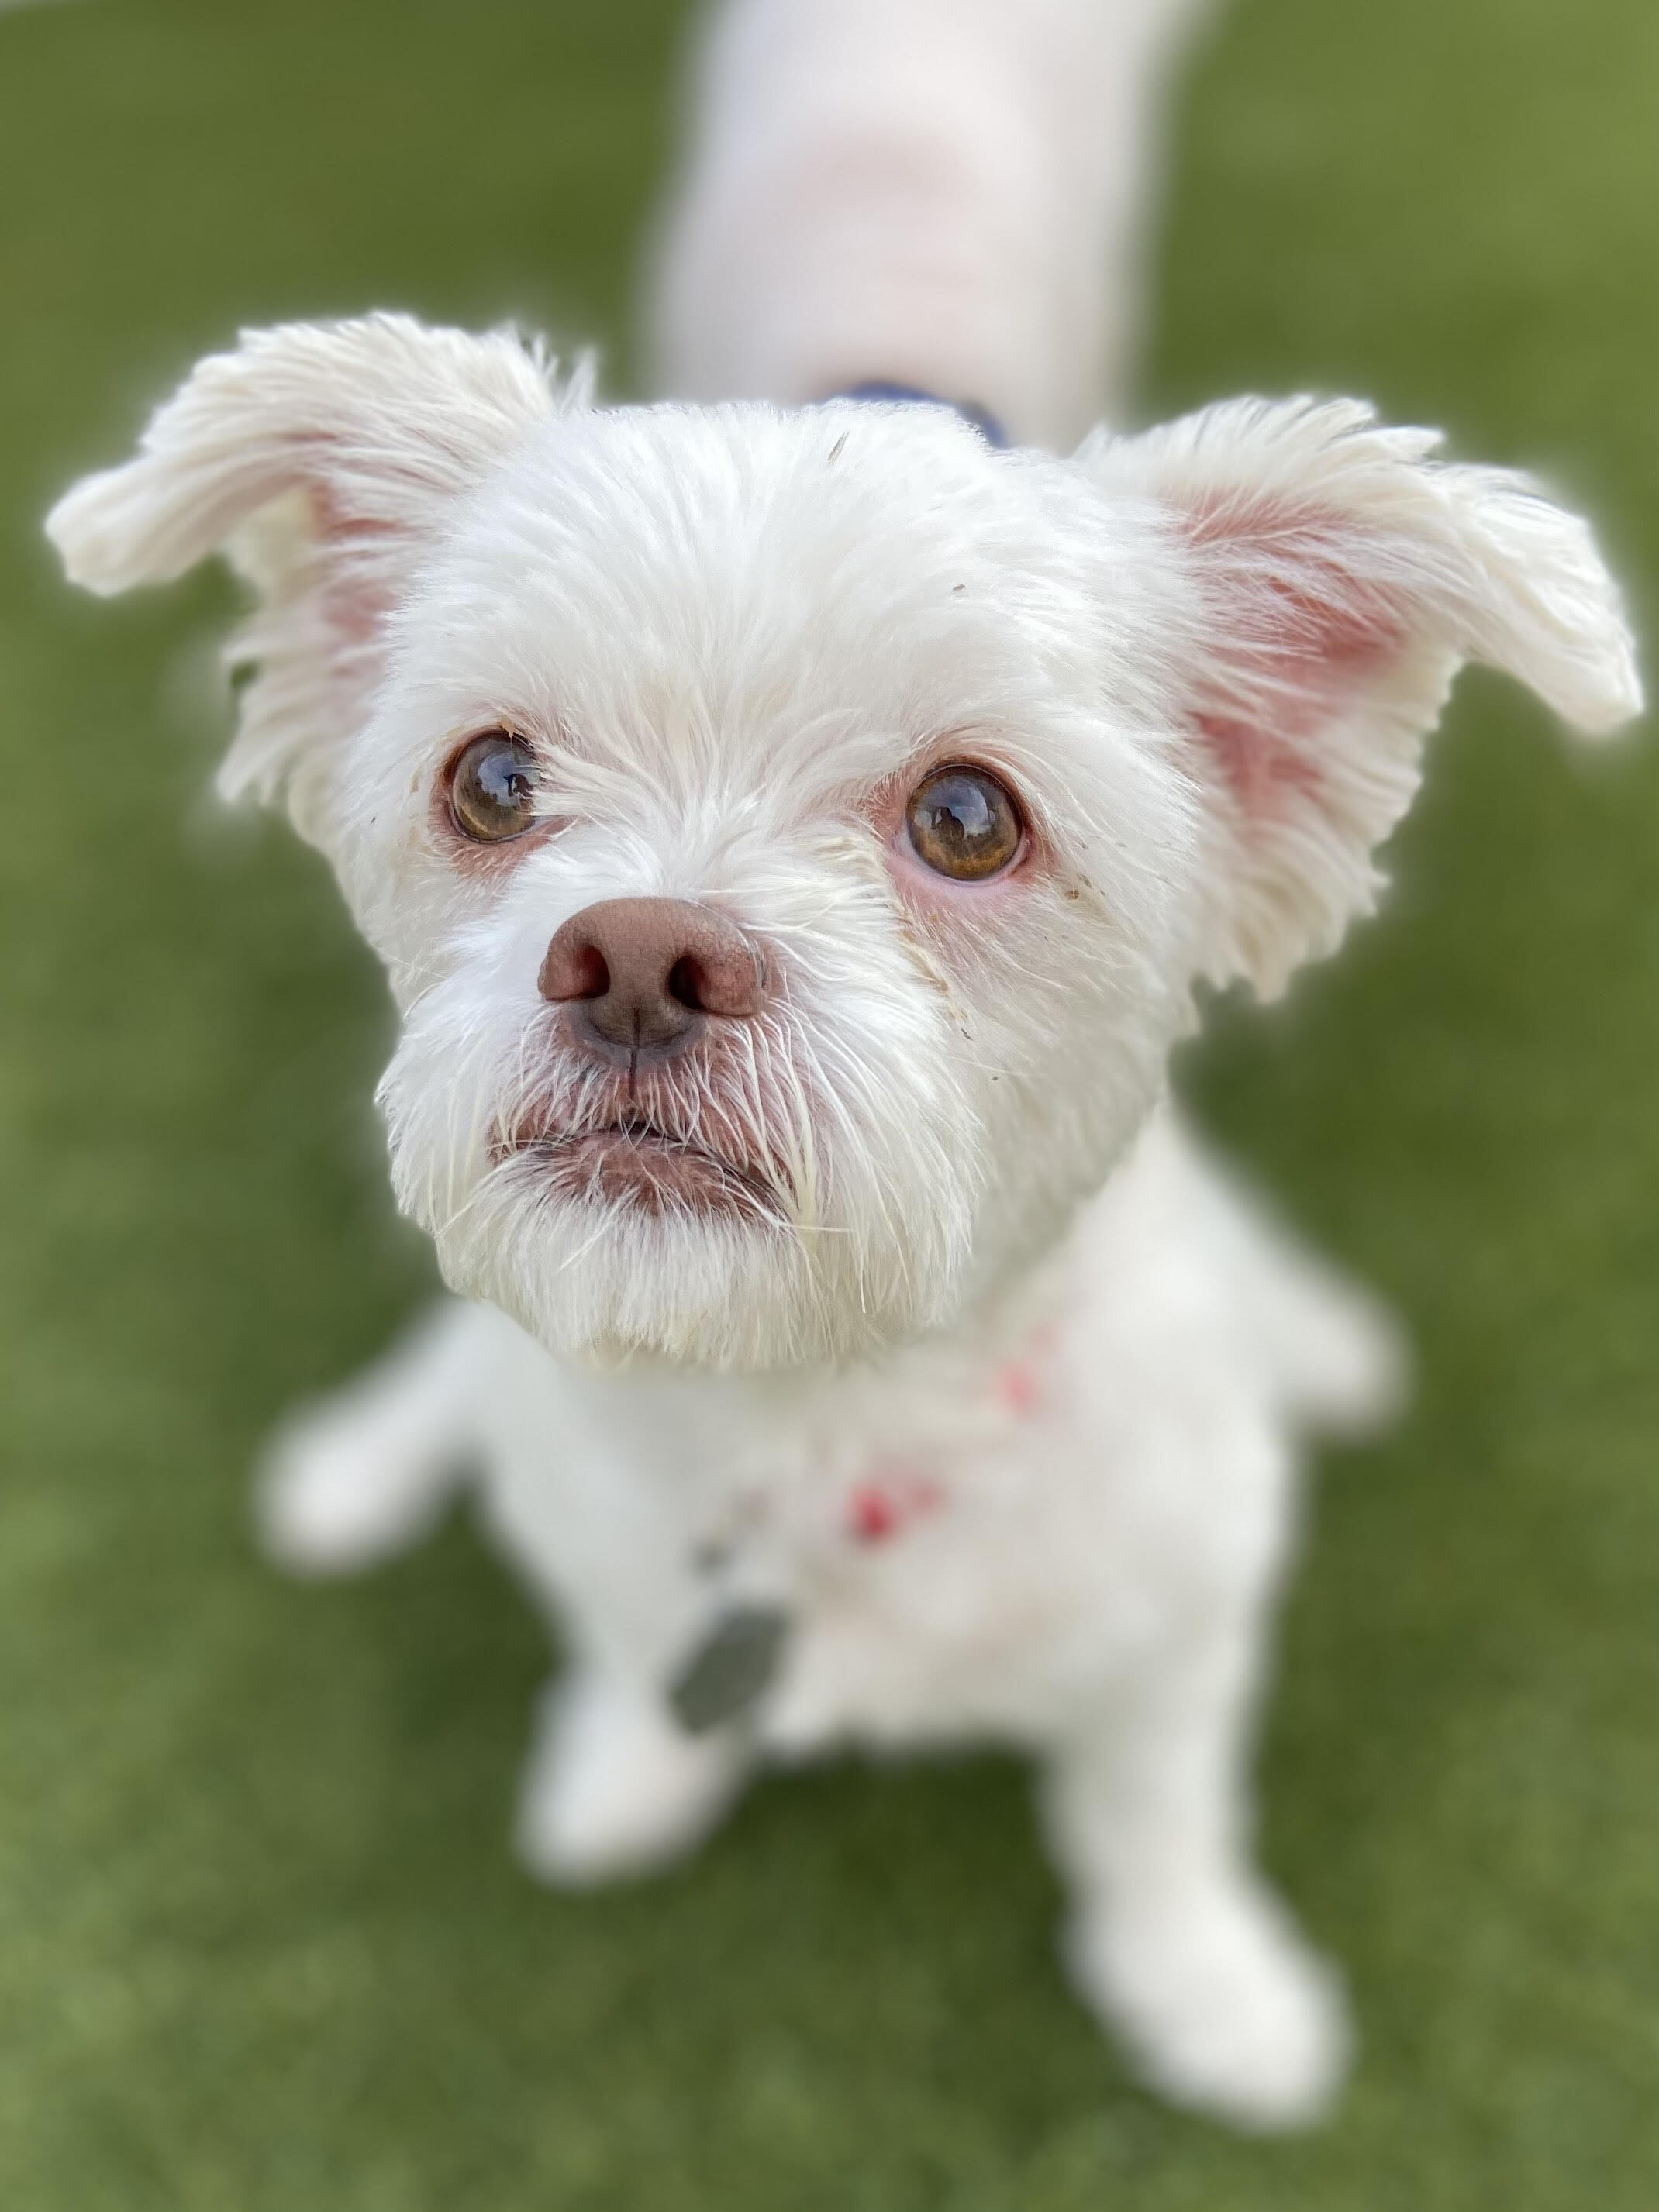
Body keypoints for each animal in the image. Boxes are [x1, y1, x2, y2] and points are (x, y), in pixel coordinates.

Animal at [45, 0, 1645, 2132]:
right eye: (491, 778)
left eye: (966, 818)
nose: (638, 956)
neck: (812, 1406)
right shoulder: (601, 1512)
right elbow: (619, 1633)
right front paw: (624, 1769)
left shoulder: (1178, 1616)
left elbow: (1150, 1813)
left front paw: (1209, 1990)